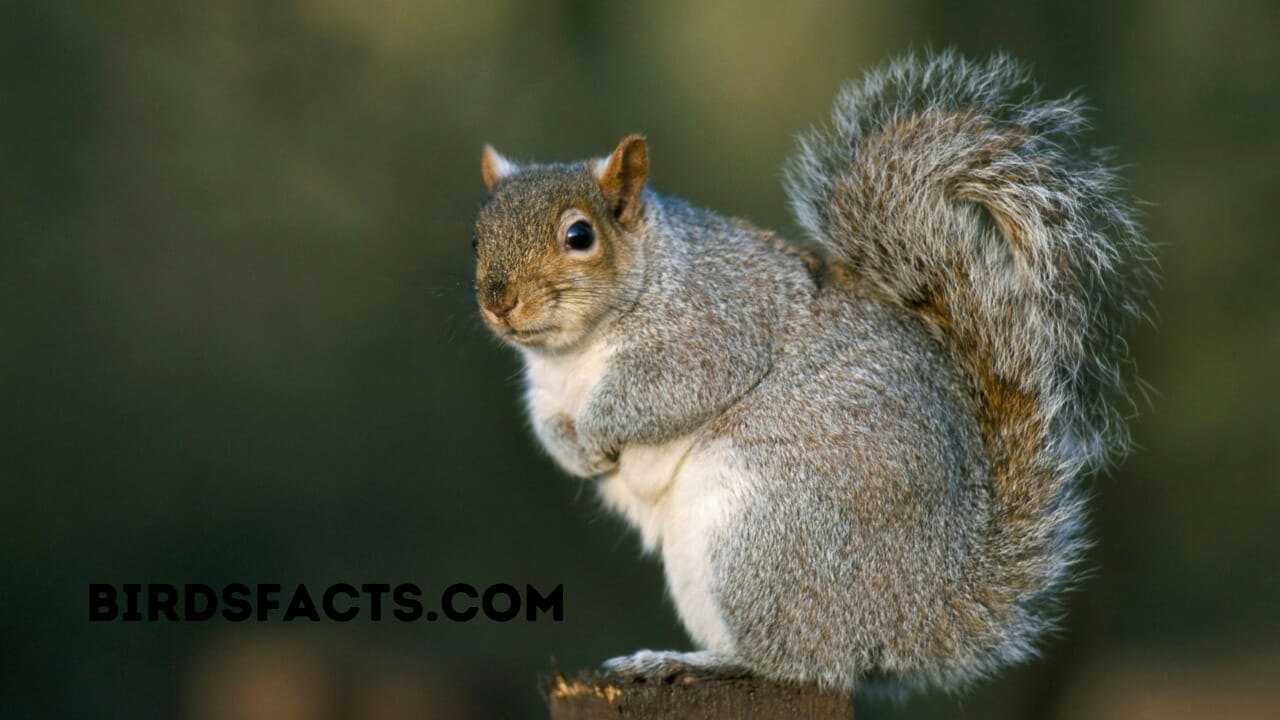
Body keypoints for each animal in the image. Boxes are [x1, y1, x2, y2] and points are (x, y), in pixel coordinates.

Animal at [470, 52, 1153, 694]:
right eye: (477, 236)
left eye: (579, 235)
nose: (498, 301)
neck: (574, 353)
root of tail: (915, 614)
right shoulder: (545, 387)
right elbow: (547, 425)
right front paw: (576, 451)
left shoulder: (713, 328)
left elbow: (664, 392)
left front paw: (597, 433)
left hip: (763, 533)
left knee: (796, 662)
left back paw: (683, 660)